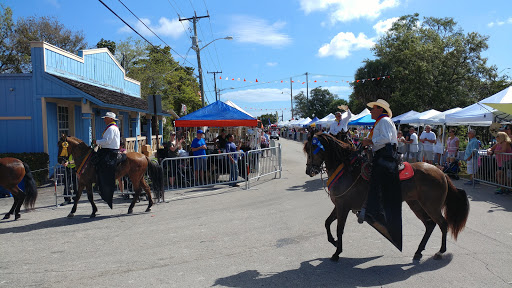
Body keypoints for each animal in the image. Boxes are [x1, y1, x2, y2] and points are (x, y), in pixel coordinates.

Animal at [302, 133, 470, 260]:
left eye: (312, 149)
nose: (309, 171)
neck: (347, 170)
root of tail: (441, 173)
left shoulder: (343, 206)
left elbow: (339, 229)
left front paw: (337, 253)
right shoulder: (338, 205)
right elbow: (327, 223)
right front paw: (334, 242)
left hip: (431, 206)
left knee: (443, 224)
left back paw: (440, 251)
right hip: (415, 204)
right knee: (430, 225)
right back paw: (418, 251)